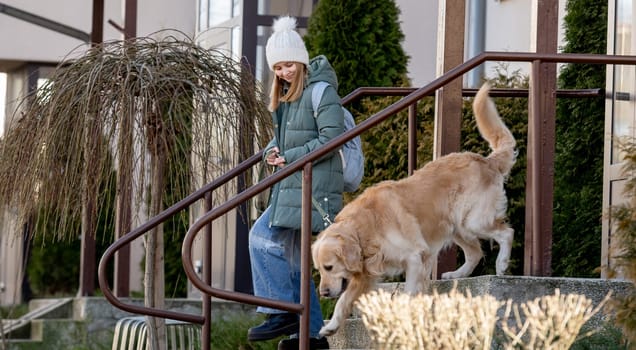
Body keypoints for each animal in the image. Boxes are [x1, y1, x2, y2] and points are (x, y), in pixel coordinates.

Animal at [314, 82, 516, 336]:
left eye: (329, 267)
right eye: (320, 269)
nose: (323, 293)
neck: (366, 228)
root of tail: (487, 161)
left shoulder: (415, 256)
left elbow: (409, 291)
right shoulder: (366, 274)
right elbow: (343, 301)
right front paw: (331, 326)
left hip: (473, 221)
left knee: (506, 233)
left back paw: (501, 264)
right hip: (456, 227)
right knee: (475, 253)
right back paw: (456, 274)